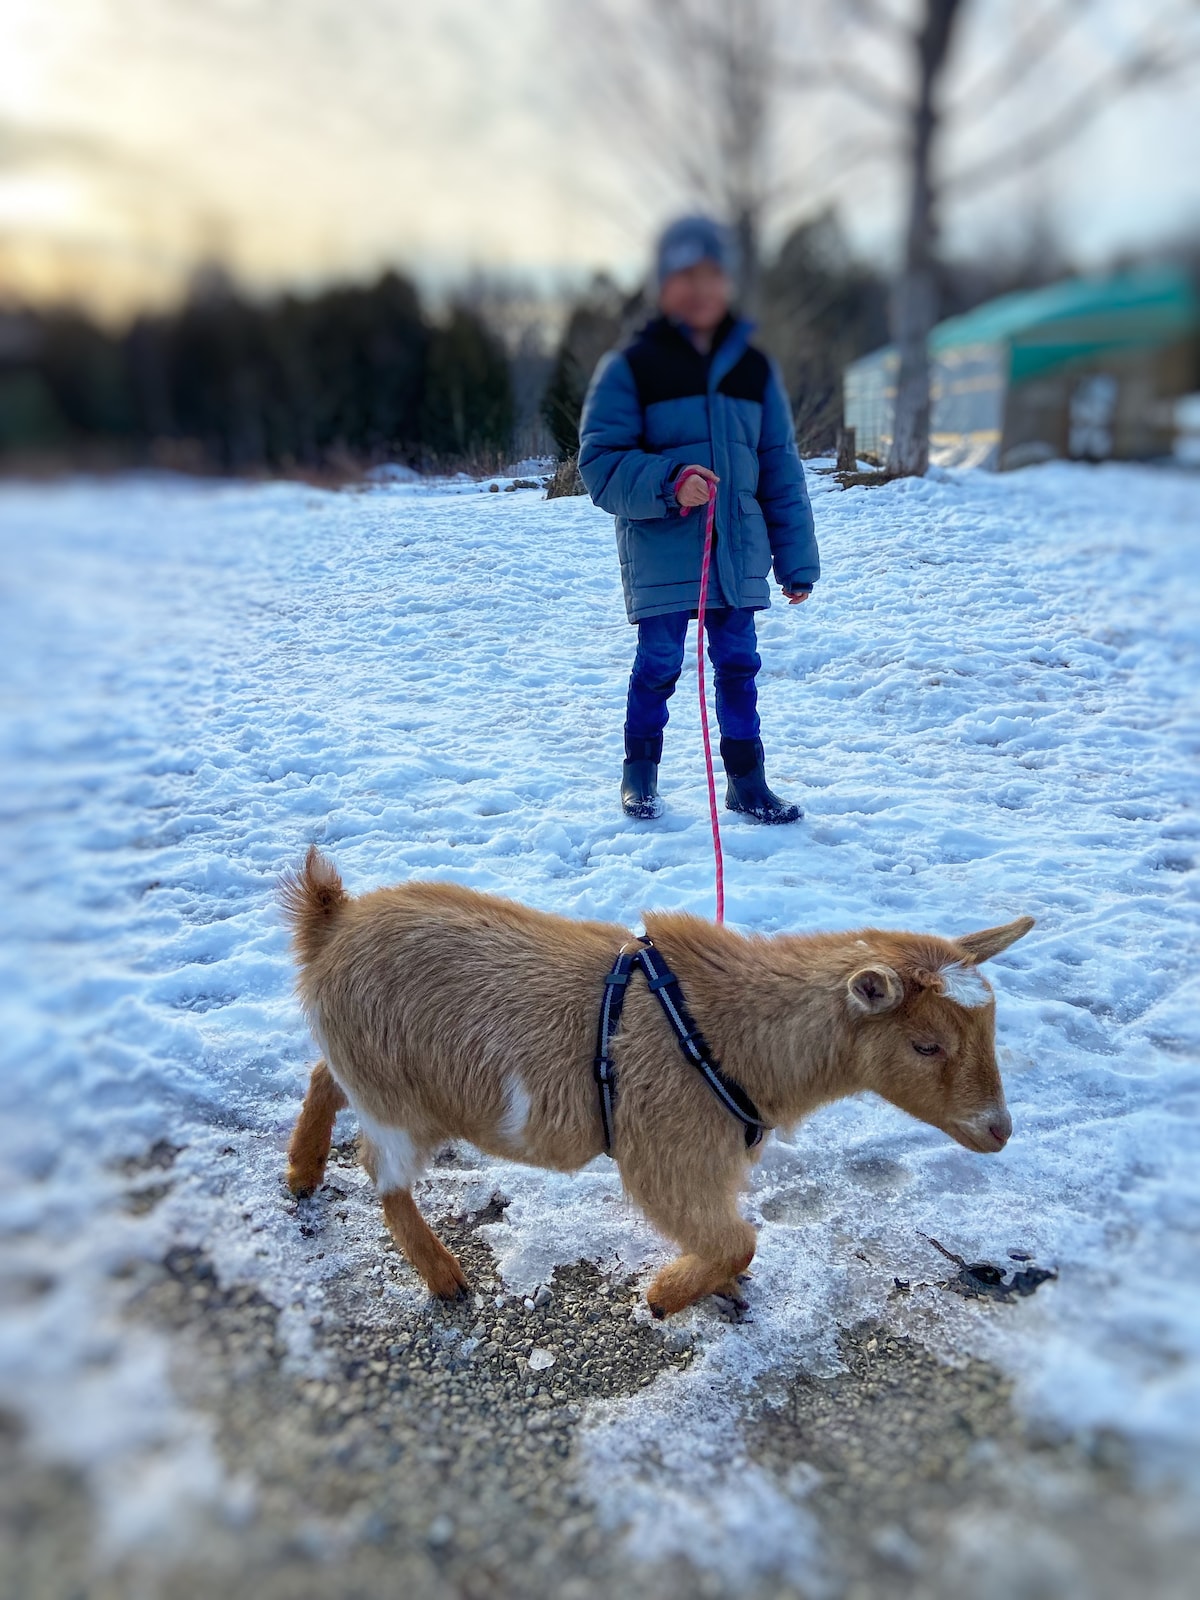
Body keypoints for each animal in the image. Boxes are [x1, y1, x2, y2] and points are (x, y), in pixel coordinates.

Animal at [281, 844, 1036, 1318]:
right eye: (926, 1044)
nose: (999, 1131)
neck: (731, 1029)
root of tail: (332, 920)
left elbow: (731, 1243)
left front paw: (711, 1286)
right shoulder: (670, 1153)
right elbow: (737, 1241)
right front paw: (666, 1295)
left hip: (373, 1069)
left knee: (324, 1075)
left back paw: (302, 1171)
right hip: (393, 1092)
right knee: (382, 1172)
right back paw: (443, 1277)